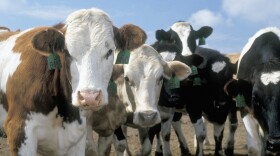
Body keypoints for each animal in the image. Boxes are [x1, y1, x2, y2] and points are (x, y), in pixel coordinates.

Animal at [145, 21, 237, 156]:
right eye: (173, 39)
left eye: (194, 37)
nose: (222, 101)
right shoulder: (194, 106)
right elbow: (200, 134)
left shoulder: (222, 112)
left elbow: (218, 135)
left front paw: (220, 152)